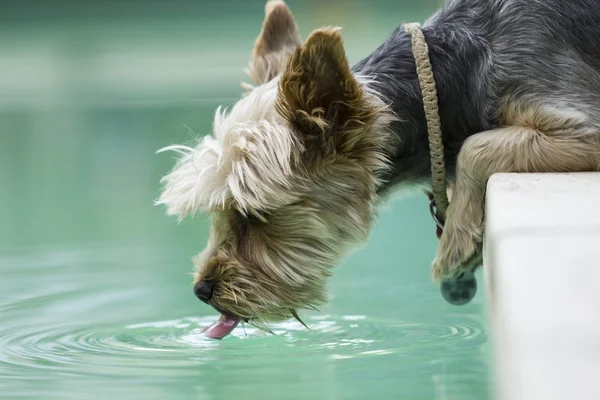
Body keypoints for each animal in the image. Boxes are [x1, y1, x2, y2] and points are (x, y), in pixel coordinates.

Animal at [158, 0, 600, 338]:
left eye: (254, 215)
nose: (201, 290)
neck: (438, 87)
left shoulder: (585, 127)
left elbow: (474, 148)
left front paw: (453, 244)